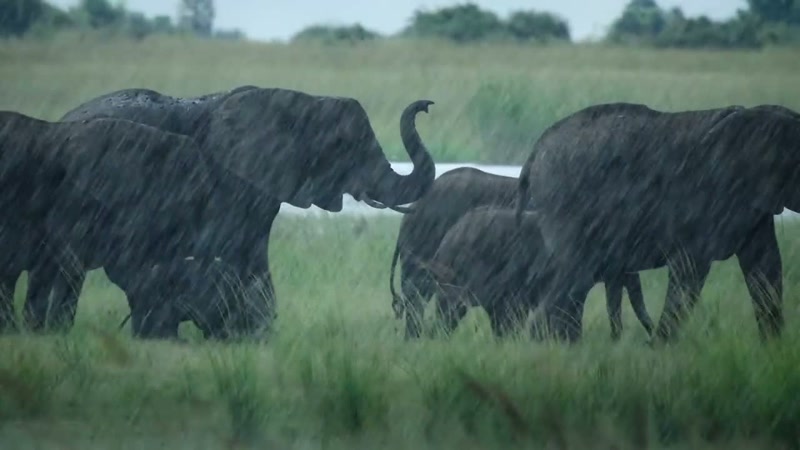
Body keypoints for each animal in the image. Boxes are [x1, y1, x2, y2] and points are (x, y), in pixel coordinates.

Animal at [516, 102, 800, 343]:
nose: (647, 339)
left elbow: (765, 265)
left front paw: (773, 349)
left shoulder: (755, 207)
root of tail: (533, 154)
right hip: (567, 205)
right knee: (574, 275)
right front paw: (660, 349)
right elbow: (689, 269)